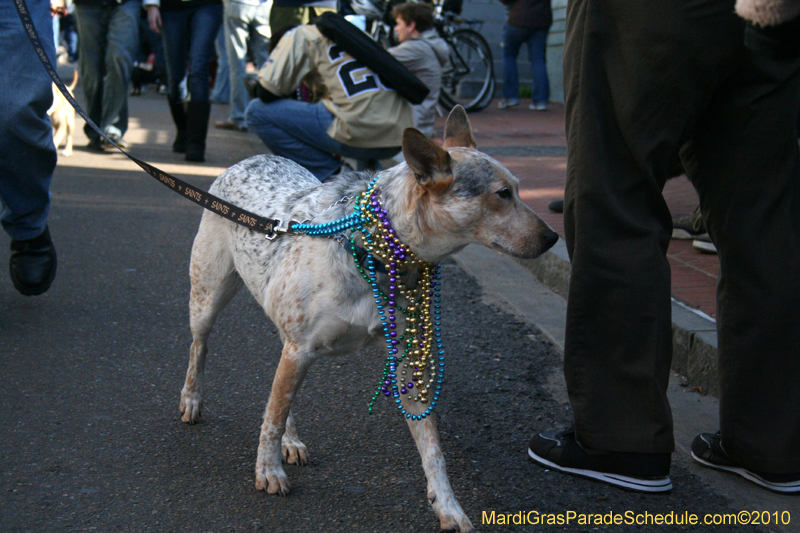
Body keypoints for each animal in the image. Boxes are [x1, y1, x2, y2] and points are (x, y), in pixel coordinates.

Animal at [181, 106, 556, 528]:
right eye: (502, 194)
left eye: (520, 189)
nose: (554, 238)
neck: (378, 257)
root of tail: (249, 159)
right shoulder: (299, 349)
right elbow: (272, 418)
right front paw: (267, 470)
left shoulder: (408, 362)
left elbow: (433, 450)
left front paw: (448, 506)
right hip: (209, 296)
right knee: (200, 347)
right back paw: (192, 400)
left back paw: (291, 440)